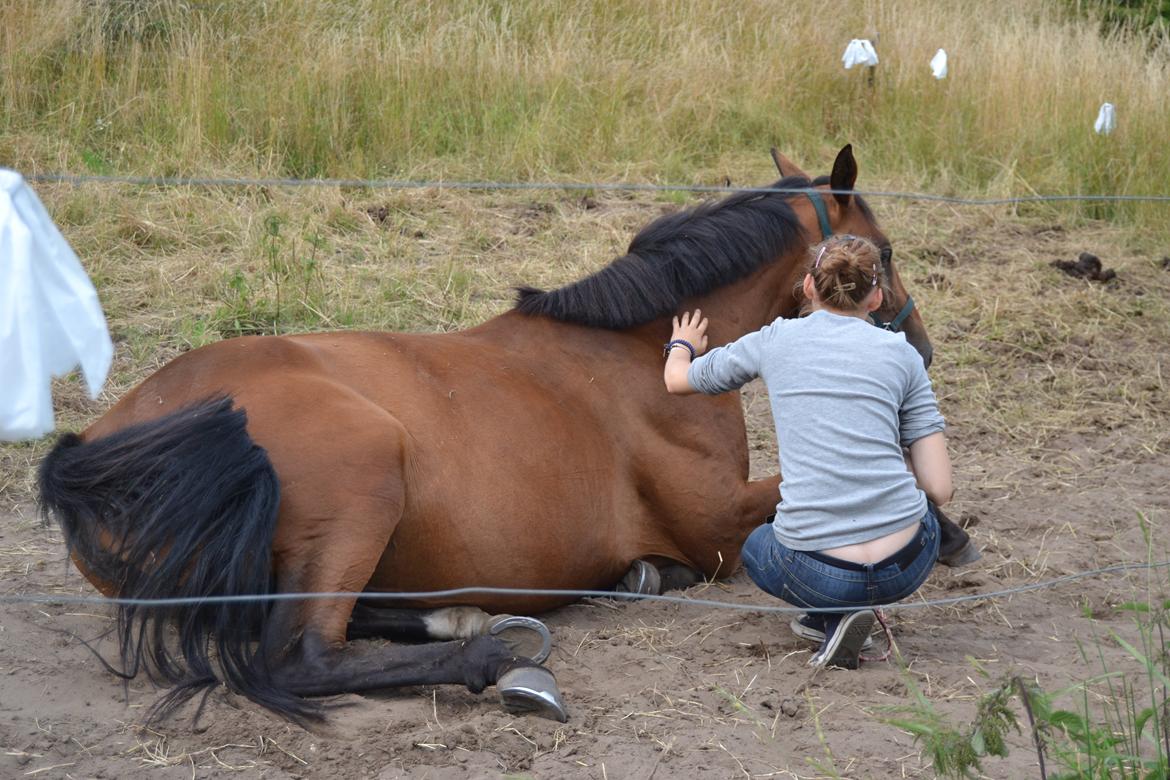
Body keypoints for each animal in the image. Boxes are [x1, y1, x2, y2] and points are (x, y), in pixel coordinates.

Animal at [38, 145, 968, 725]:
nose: (922, 347)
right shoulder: (715, 525)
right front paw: (949, 533)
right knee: (303, 656)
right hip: (365, 481)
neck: (643, 350)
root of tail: (101, 449)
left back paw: (470, 619)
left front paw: (634, 576)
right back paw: (497, 663)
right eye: (885, 253)